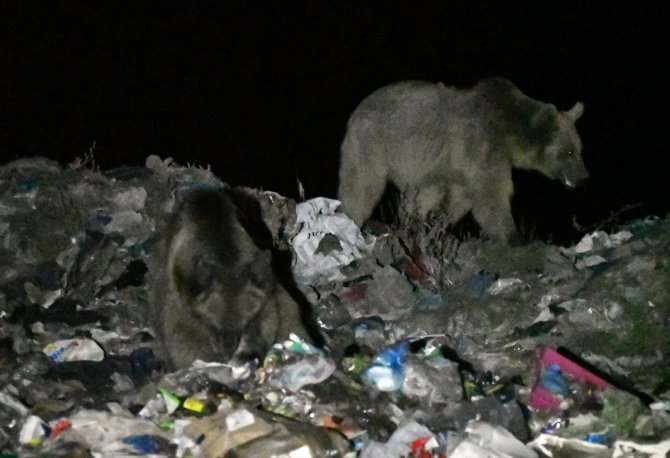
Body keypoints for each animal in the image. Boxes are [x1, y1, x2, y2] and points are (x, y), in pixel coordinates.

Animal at [338, 77, 592, 245]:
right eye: (569, 152)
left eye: (580, 149)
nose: (584, 177)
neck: (510, 135)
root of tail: (357, 108)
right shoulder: (483, 148)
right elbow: (491, 196)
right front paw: (515, 237)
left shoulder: (460, 167)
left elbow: (462, 198)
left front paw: (439, 225)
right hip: (373, 144)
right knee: (361, 185)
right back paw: (352, 219)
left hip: (421, 167)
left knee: (420, 194)